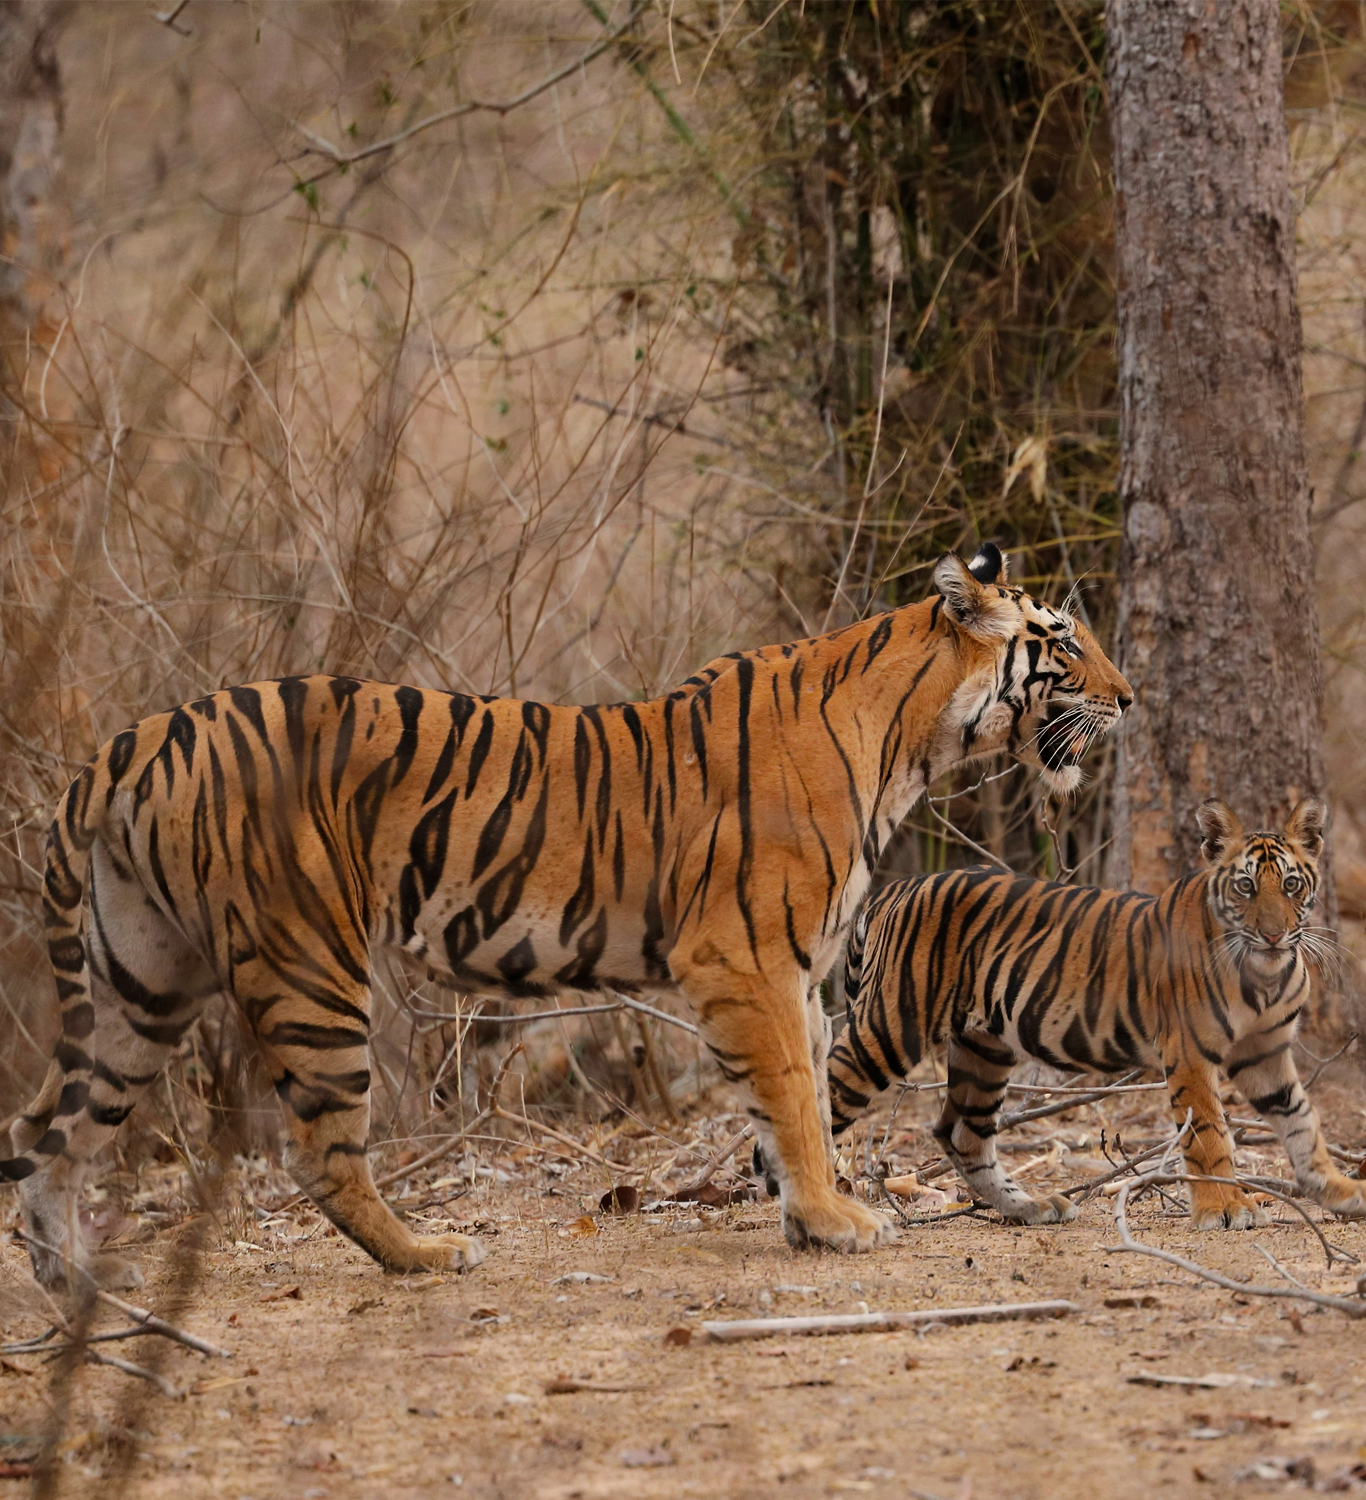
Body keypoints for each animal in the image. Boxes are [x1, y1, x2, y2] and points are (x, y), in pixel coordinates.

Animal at [2, 546, 1133, 1284]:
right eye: (1062, 643)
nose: (1130, 699)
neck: (912, 738)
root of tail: (132, 741)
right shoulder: (746, 956)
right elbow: (794, 1096)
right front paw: (831, 1217)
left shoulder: (798, 968)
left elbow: (805, 1090)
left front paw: (806, 1212)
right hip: (309, 970)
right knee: (319, 1152)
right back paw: (427, 1253)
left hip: (138, 986)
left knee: (45, 1126)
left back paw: (78, 1284)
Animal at [821, 798, 1366, 1230]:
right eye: (1246, 887)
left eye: (1291, 884)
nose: (1274, 935)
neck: (1265, 975)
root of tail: (894, 889)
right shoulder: (1190, 1054)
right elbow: (1210, 1136)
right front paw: (1225, 1209)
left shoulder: (1265, 1055)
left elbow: (1304, 1124)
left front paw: (1340, 1192)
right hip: (891, 1027)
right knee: (823, 1097)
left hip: (983, 1048)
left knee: (962, 1134)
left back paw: (1031, 1206)